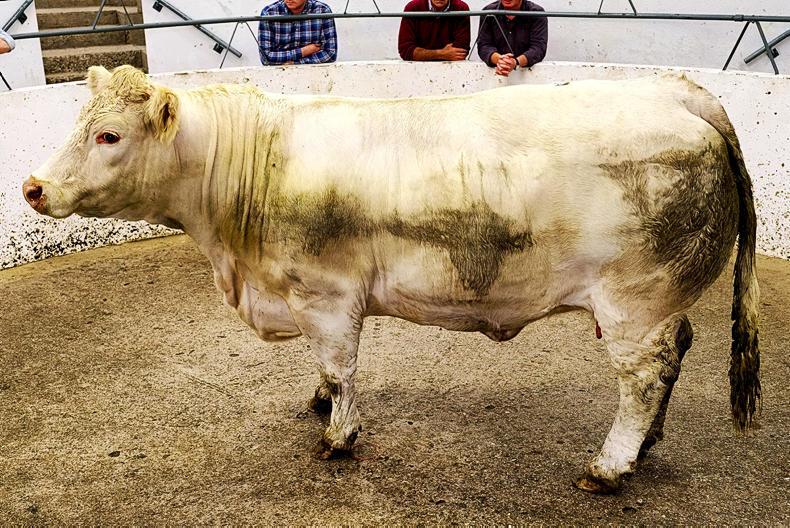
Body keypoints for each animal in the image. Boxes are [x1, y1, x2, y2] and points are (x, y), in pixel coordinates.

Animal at [23, 65, 760, 494]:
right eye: (81, 123)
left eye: (110, 136)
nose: (32, 187)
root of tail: (676, 93)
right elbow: (326, 370)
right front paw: (321, 401)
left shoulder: (327, 295)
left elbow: (342, 365)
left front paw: (338, 435)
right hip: (658, 303)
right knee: (676, 354)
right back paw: (649, 443)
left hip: (634, 302)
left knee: (642, 379)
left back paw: (610, 465)